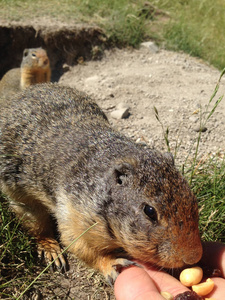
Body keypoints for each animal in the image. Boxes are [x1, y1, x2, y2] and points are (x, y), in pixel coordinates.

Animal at [0, 82, 203, 284]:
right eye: (150, 211)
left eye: (193, 199)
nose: (193, 257)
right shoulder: (75, 214)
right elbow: (79, 245)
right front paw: (112, 264)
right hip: (21, 197)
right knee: (37, 225)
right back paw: (51, 250)